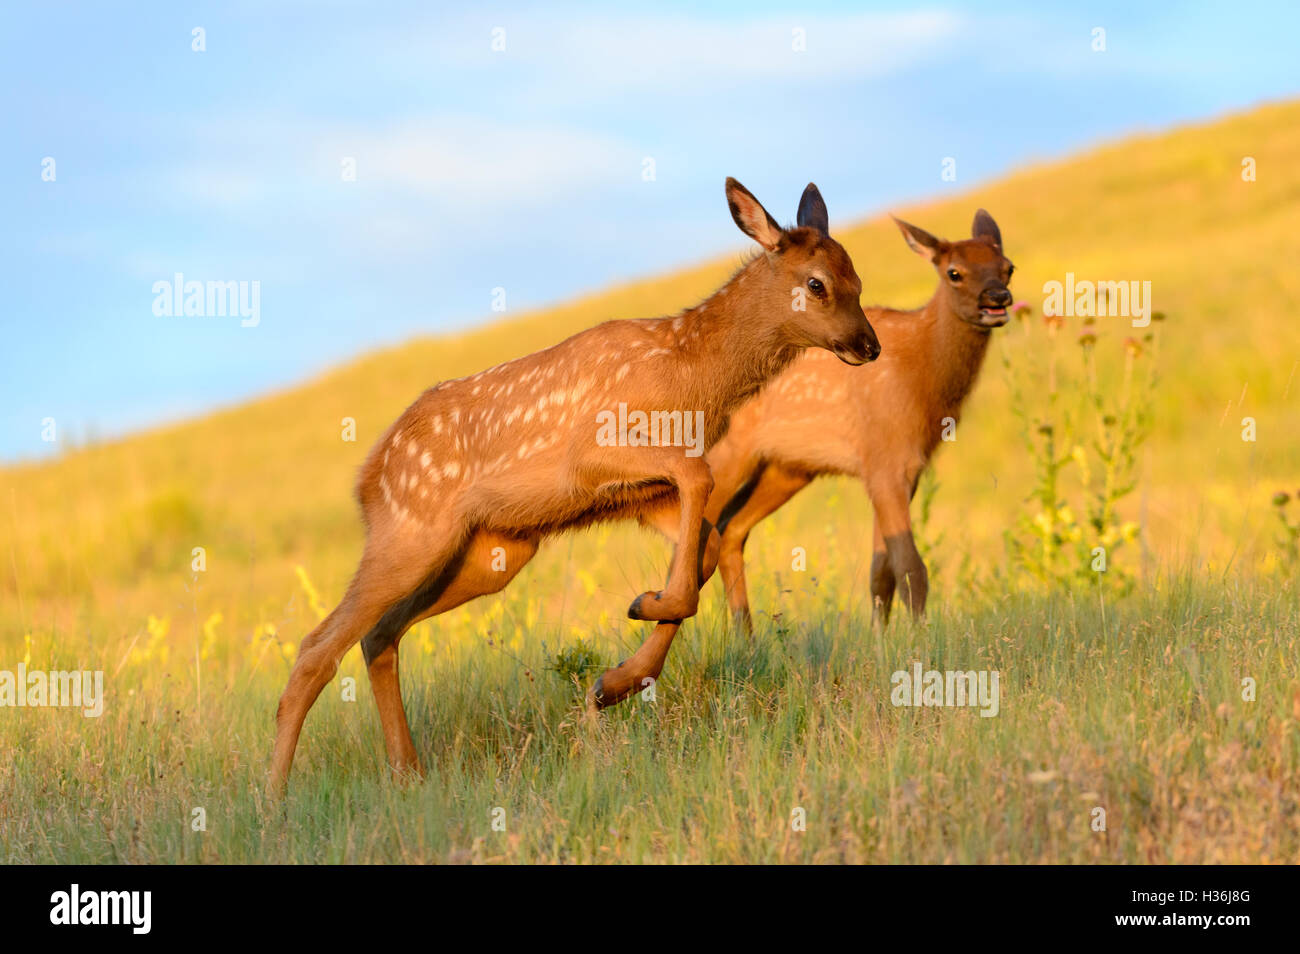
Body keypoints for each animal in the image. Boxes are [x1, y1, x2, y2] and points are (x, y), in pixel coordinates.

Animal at [271, 179, 883, 790]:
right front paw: (645, 610)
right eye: (817, 283)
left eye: (858, 279)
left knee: (378, 635)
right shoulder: (593, 452)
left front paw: (616, 681)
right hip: (411, 531)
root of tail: (367, 474)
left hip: (489, 552)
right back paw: (274, 796)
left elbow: (705, 546)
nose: (869, 345)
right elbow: (699, 483)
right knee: (317, 648)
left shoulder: (643, 495)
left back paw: (408, 773)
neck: (690, 375)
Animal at [702, 206, 1013, 631]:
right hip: (729, 455)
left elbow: (881, 570)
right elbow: (911, 568)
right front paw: (920, 638)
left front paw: (882, 637)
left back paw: (745, 634)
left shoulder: (902, 470)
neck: (922, 378)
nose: (997, 298)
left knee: (730, 530)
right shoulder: (885, 459)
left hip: (785, 468)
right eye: (954, 272)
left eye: (1008, 267)